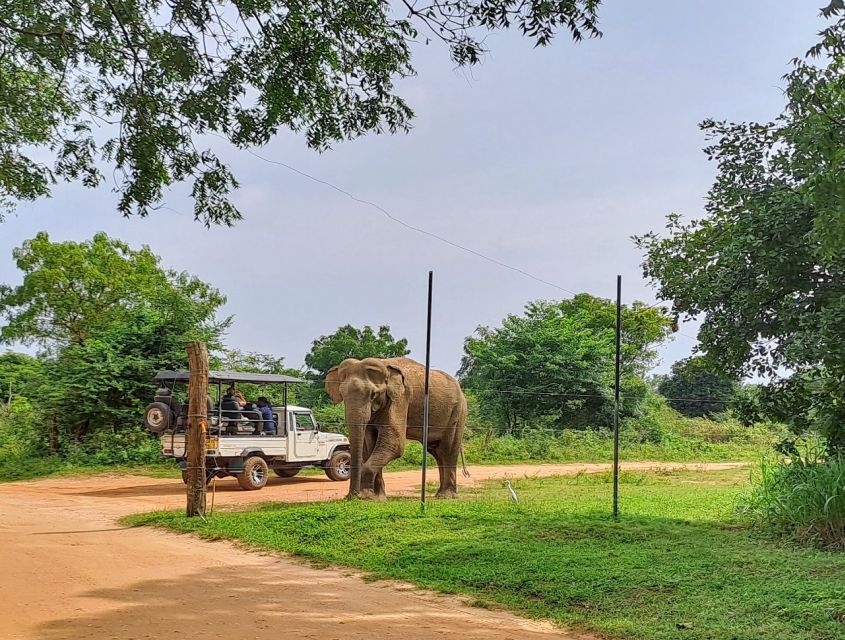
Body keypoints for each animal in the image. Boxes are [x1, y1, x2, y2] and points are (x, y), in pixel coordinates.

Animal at [324, 356, 468, 500]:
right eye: (342, 394)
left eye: (373, 394)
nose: (351, 496)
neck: (384, 364)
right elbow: (370, 445)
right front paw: (377, 498)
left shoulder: (400, 399)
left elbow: (394, 444)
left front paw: (366, 496)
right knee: (437, 451)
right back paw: (439, 495)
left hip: (458, 413)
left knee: (448, 450)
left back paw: (446, 496)